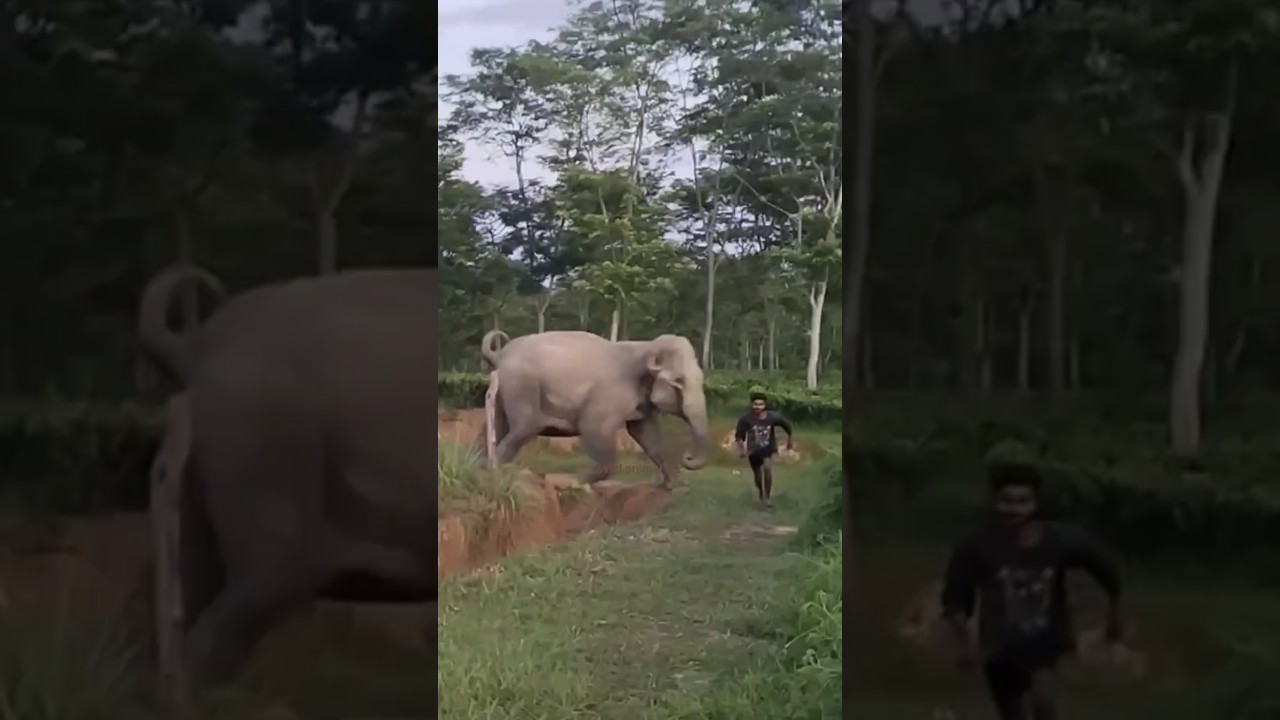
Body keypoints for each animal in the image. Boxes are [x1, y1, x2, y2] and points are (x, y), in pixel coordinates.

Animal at [480, 329, 709, 487]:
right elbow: (592, 428)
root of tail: (501, 355)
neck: (645, 347)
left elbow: (647, 435)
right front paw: (573, 481)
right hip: (521, 387)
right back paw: (497, 477)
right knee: (523, 429)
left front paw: (672, 485)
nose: (688, 456)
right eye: (679, 381)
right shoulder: (610, 394)